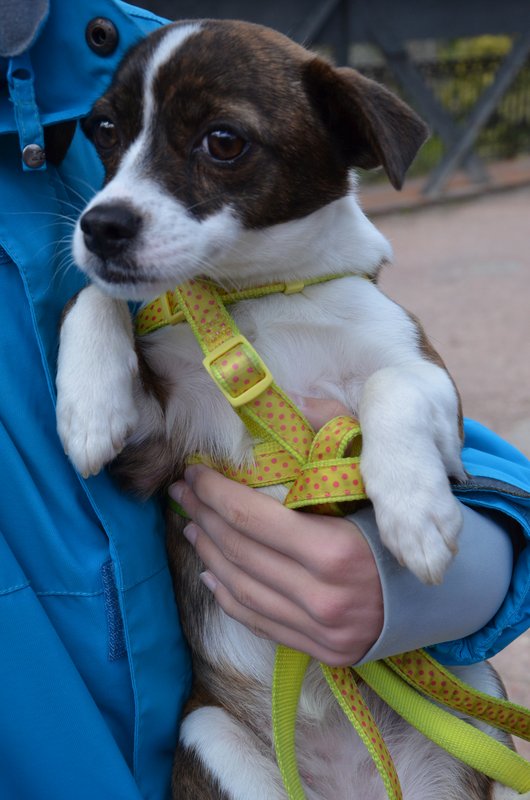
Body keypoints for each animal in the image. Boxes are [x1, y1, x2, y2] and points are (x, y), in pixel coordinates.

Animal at [54, 18, 516, 800]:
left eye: (223, 141)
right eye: (107, 130)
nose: (100, 225)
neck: (257, 299)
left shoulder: (431, 384)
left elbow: (391, 388)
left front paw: (415, 512)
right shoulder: (156, 451)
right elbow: (96, 296)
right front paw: (86, 405)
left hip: (477, 700)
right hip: (213, 739)